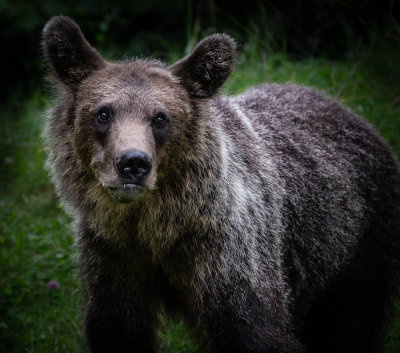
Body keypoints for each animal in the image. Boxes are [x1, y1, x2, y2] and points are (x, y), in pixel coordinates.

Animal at [41, 15, 400, 352]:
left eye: (160, 118)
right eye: (103, 113)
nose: (133, 163)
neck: (156, 226)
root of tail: (347, 110)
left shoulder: (226, 256)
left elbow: (255, 330)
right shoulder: (112, 257)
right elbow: (117, 329)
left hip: (354, 249)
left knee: (351, 324)